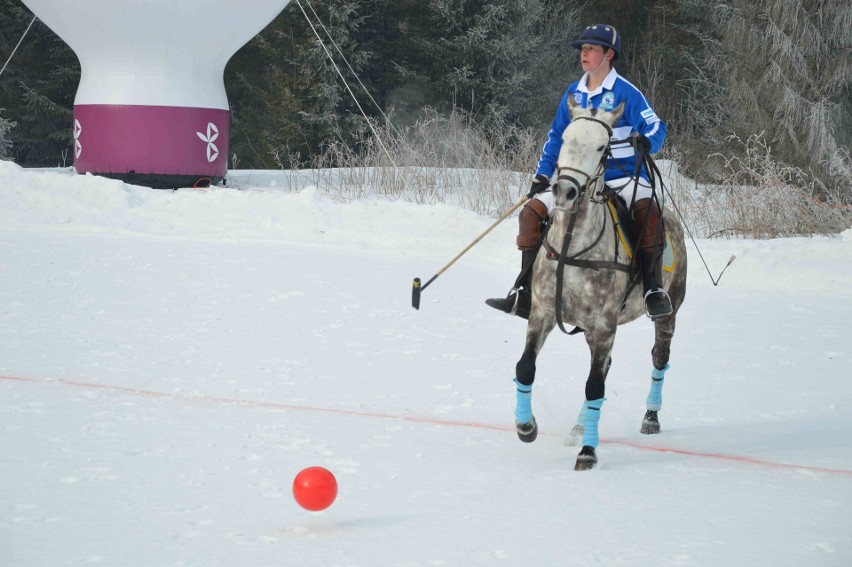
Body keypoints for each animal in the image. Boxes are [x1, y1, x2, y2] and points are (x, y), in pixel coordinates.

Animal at [512, 97, 684, 470]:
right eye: (564, 139)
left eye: (603, 147)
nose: (564, 191)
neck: (572, 246)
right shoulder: (542, 313)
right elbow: (526, 367)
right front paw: (526, 427)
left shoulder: (605, 324)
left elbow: (594, 387)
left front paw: (588, 454)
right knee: (605, 367)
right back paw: (578, 428)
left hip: (668, 311)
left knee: (659, 357)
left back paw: (650, 419)